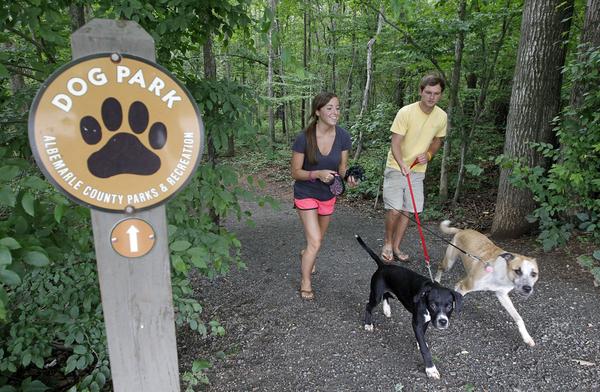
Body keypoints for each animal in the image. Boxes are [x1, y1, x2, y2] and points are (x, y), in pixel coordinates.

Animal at [356, 234, 464, 378]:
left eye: (449, 306)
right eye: (433, 305)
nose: (442, 321)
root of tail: (383, 266)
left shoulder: (425, 321)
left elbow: (423, 335)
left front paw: (420, 341)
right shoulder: (417, 322)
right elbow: (425, 349)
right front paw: (430, 369)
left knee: (386, 295)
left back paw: (387, 309)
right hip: (376, 294)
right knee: (369, 305)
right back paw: (368, 324)